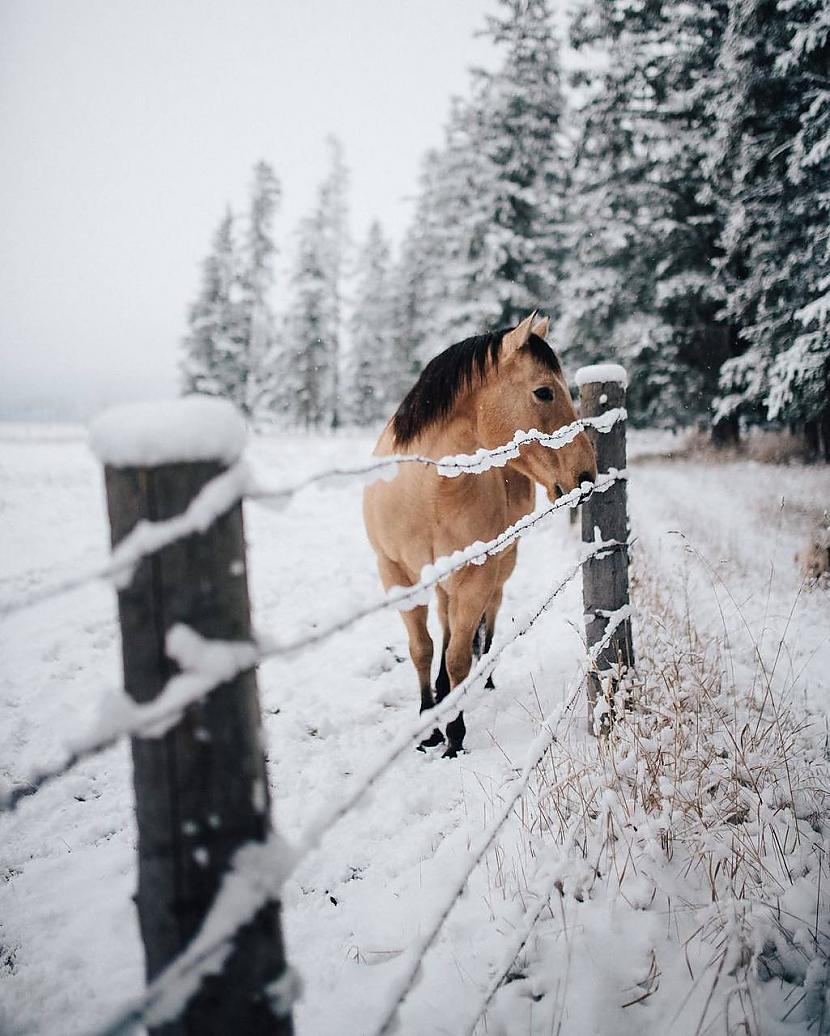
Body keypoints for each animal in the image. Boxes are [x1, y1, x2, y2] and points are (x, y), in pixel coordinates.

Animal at [362, 310, 596, 758]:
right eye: (544, 392)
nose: (587, 475)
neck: (427, 494)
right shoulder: (396, 575)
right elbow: (423, 649)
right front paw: (429, 725)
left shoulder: (475, 575)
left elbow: (457, 655)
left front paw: (454, 734)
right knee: (446, 624)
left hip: (500, 566)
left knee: (484, 623)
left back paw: (483, 678)